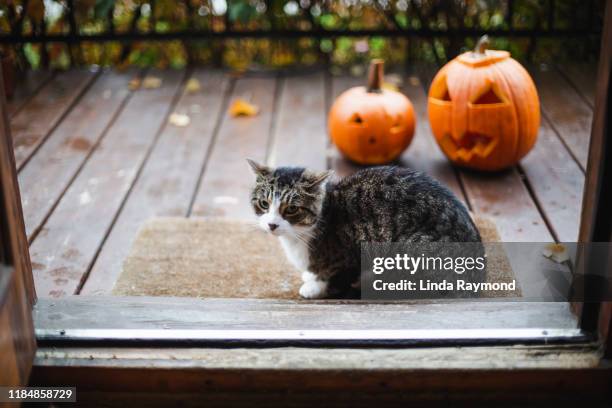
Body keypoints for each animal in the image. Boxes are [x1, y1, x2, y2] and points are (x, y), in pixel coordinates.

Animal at [246, 160, 480, 300]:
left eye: (292, 209)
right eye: (264, 204)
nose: (272, 224)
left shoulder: (354, 251)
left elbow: (337, 277)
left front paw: (315, 287)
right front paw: (311, 276)